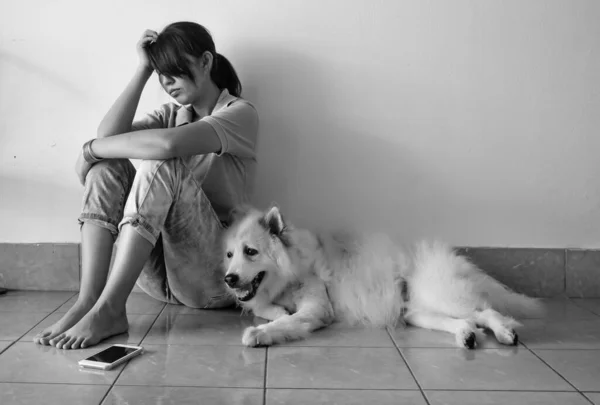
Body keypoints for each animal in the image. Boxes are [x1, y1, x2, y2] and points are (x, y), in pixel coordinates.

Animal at [221, 204, 544, 348]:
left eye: (250, 251)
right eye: (229, 255)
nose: (228, 279)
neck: (292, 267)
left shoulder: (317, 308)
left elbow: (286, 321)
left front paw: (259, 333)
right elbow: (266, 308)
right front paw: (275, 312)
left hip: (441, 297)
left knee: (487, 312)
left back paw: (505, 333)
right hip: (418, 312)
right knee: (467, 321)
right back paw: (466, 336)